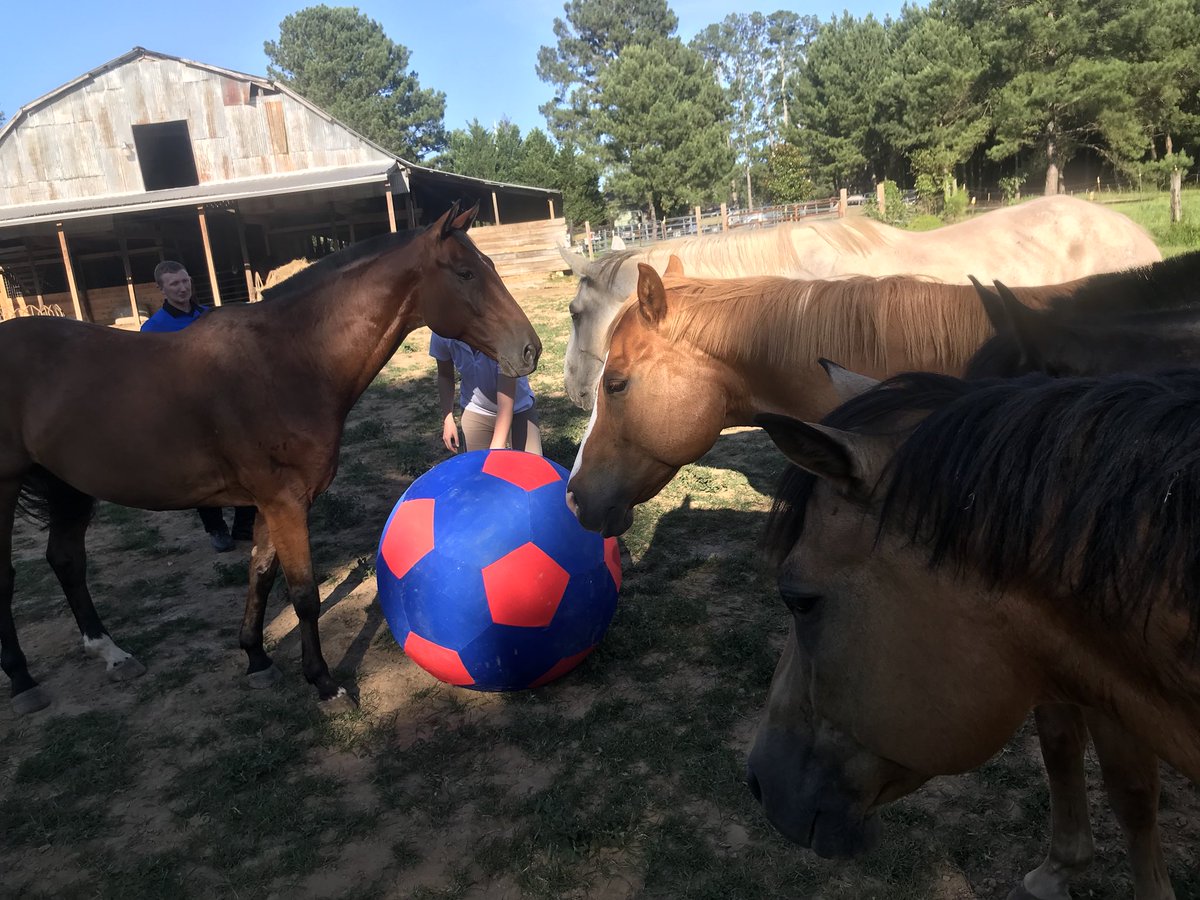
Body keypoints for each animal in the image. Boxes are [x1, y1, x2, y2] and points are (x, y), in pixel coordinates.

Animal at [0, 202, 542, 714]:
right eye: (465, 273)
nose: (530, 349)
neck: (290, 361)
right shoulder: (286, 502)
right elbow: (303, 594)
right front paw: (324, 683)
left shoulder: (267, 503)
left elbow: (260, 573)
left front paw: (257, 658)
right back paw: (24, 682)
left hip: (67, 483)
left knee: (66, 560)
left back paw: (110, 653)